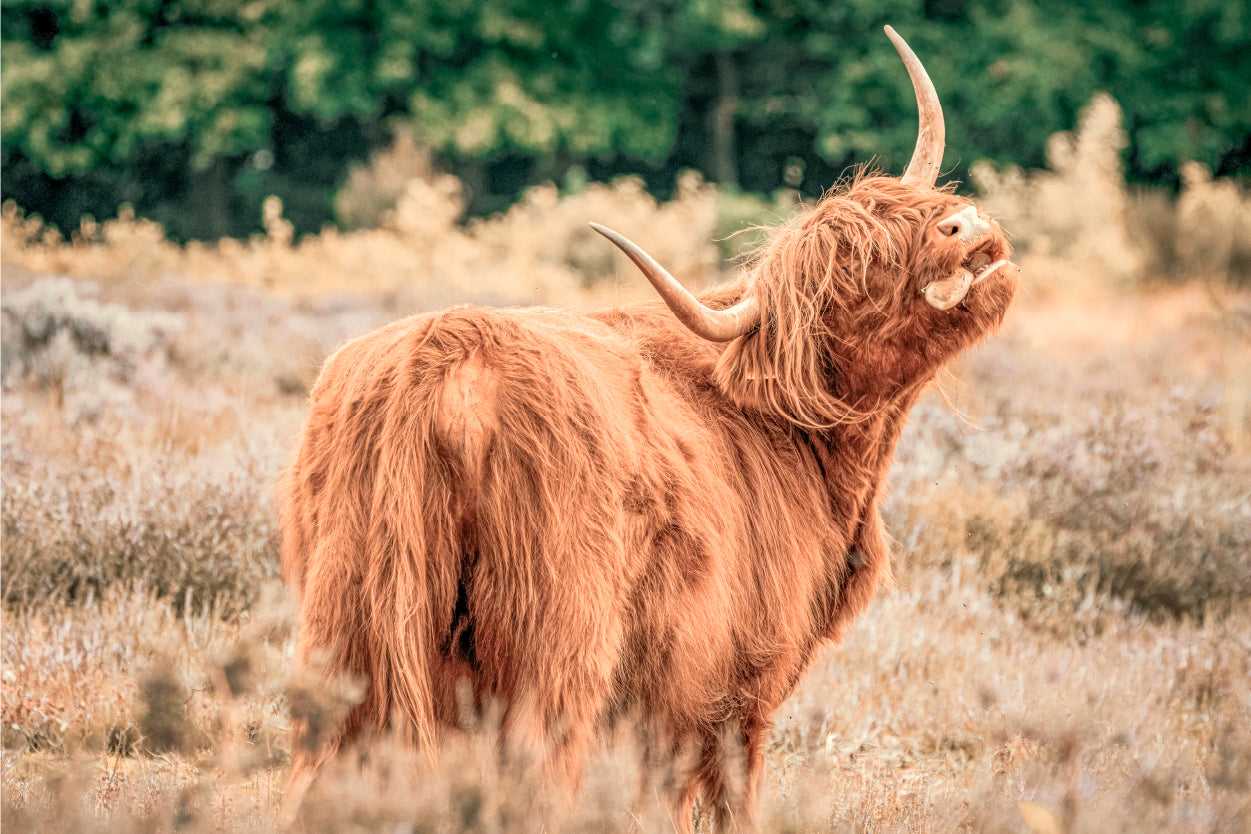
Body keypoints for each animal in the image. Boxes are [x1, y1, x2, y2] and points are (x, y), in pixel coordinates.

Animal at [279, 25, 1017, 831]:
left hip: (349, 638)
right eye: (854, 273)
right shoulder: (736, 687)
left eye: (911, 206)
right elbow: (729, 798)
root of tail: (447, 352)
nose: (965, 226)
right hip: (557, 652)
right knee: (539, 772)